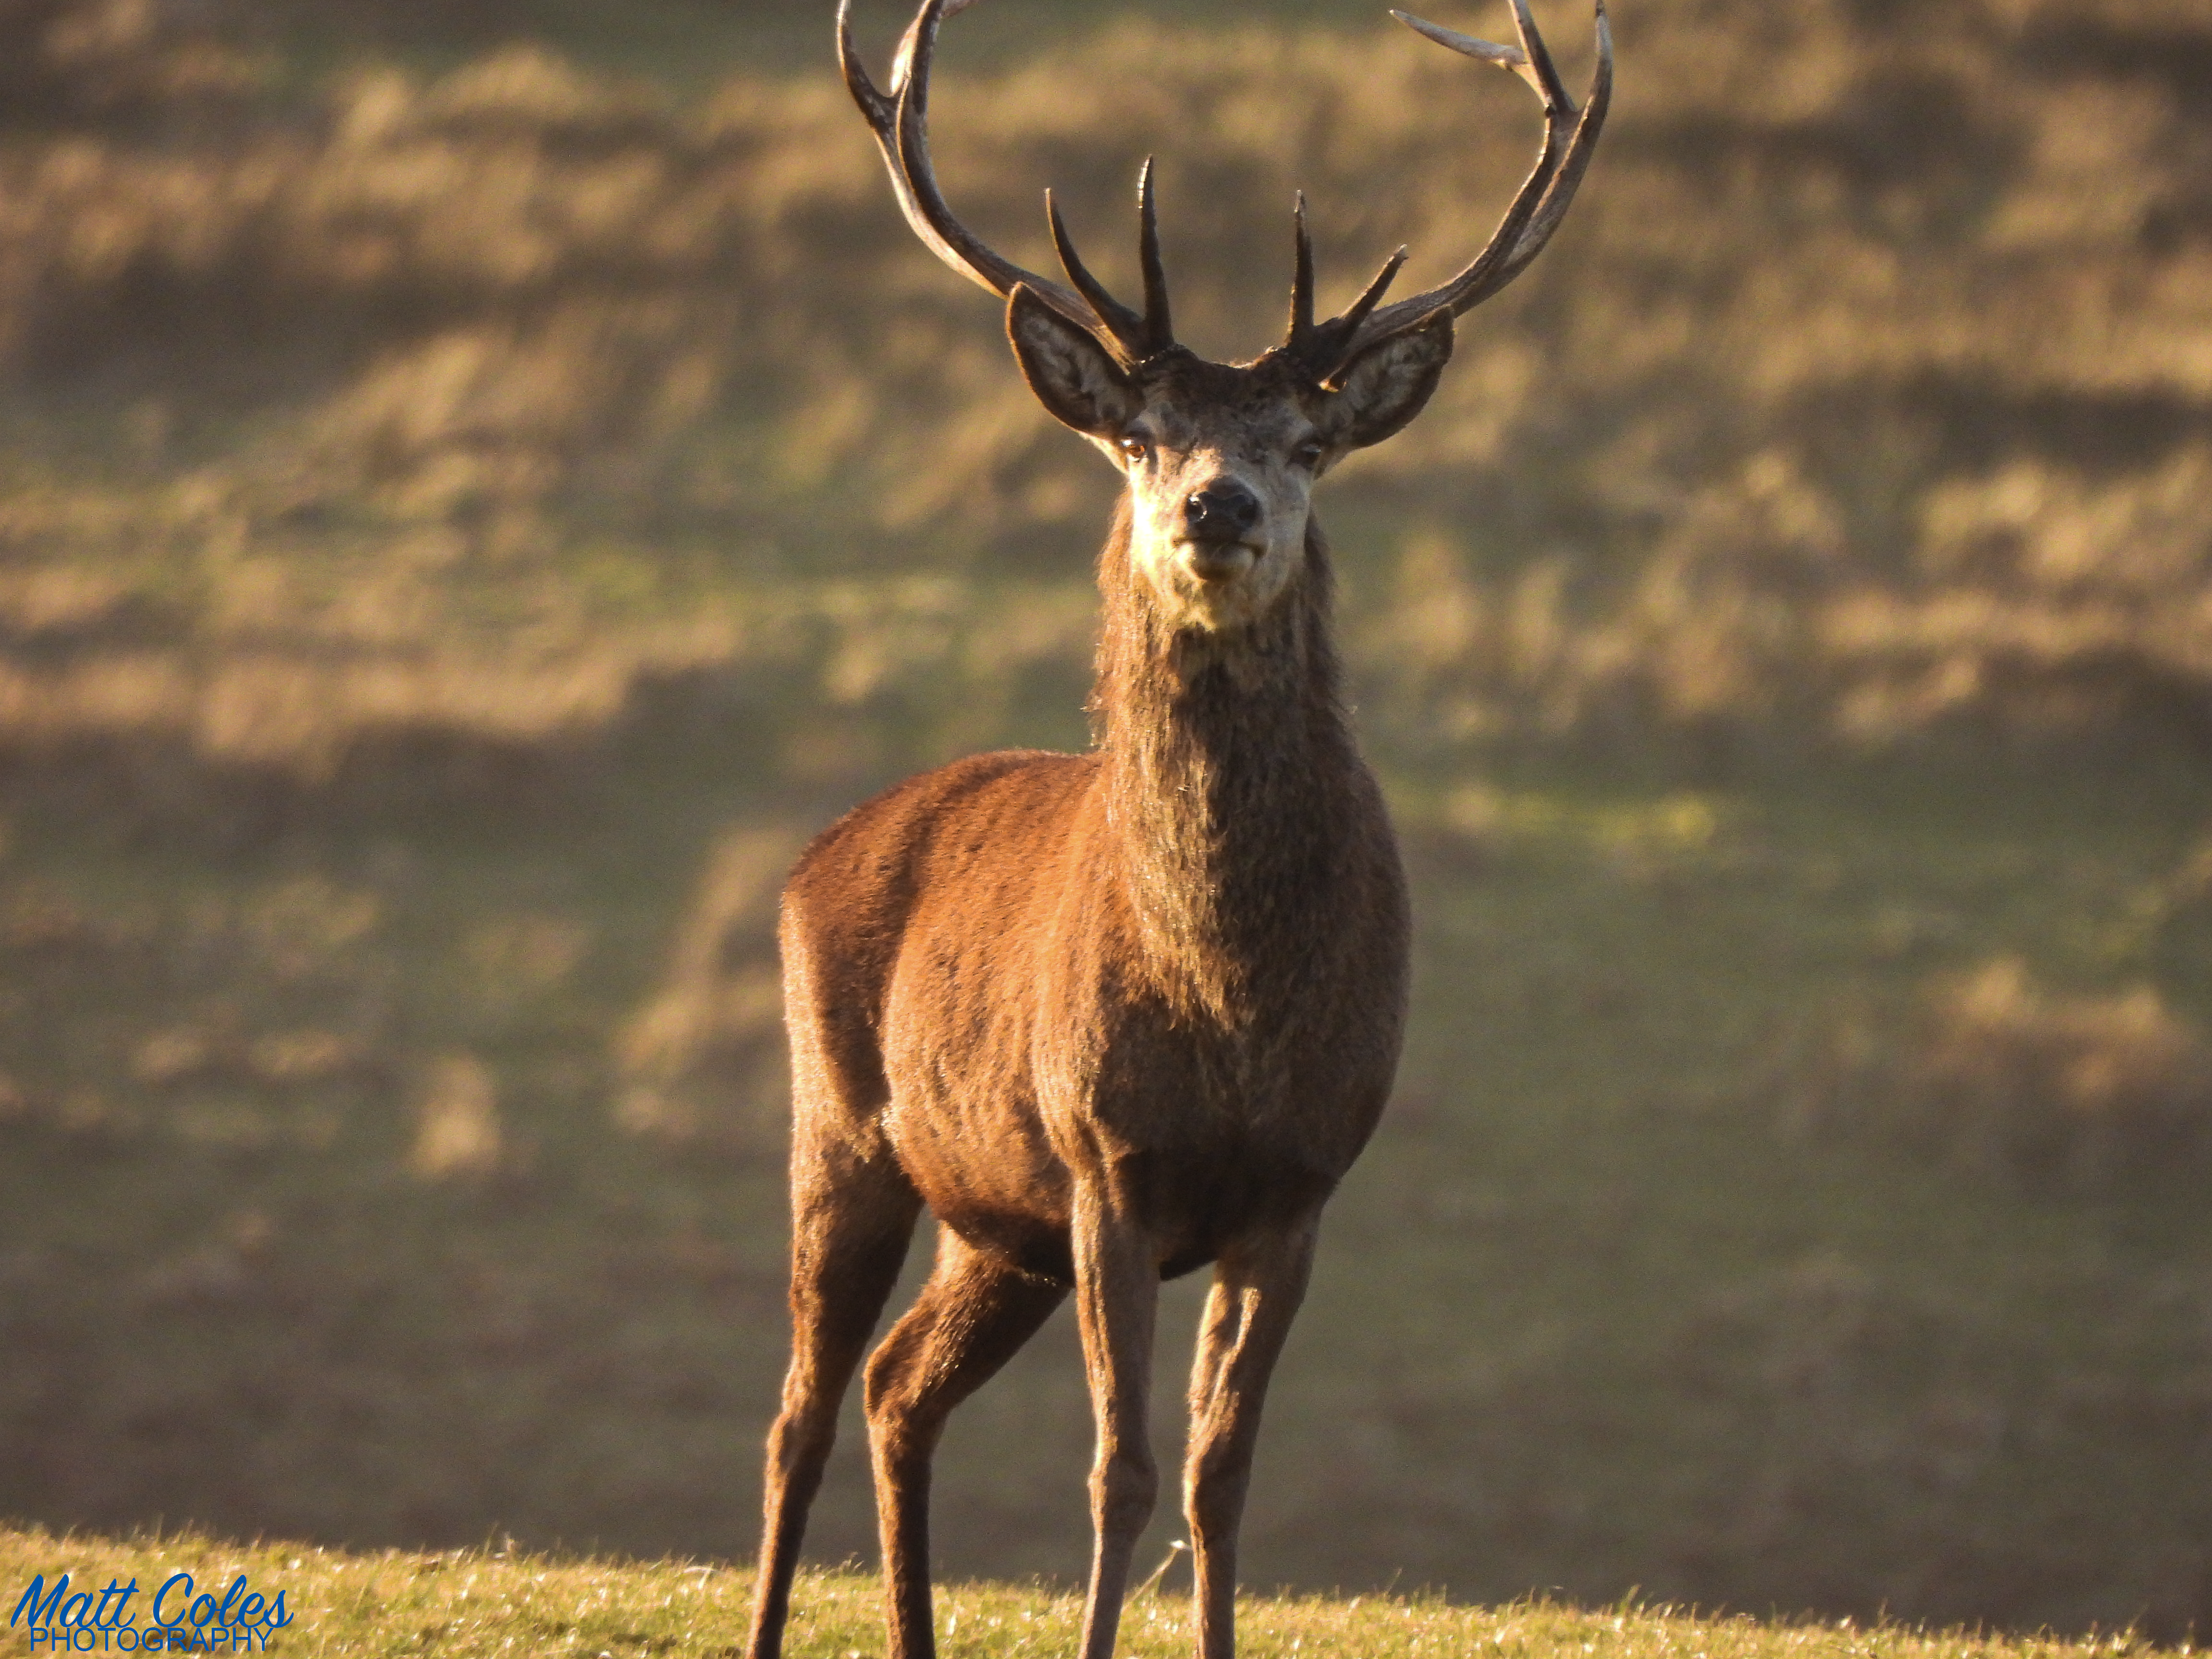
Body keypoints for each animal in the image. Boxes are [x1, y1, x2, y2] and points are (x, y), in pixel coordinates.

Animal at [745, 2, 1609, 1657]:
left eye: (1309, 442)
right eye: (1142, 436)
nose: (1219, 506)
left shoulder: (1302, 1185)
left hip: (991, 1220)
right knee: (799, 1410)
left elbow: (1220, 1478)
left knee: (896, 1391)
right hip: (844, 1127)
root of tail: (819, 853)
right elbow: (1122, 1471)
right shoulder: (1107, 1164)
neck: (1230, 1000)